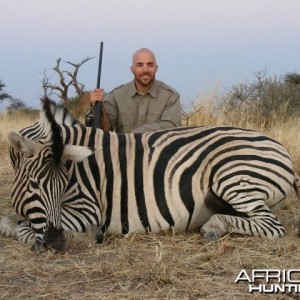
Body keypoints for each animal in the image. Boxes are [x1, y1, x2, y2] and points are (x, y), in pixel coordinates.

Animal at [2, 98, 300, 251]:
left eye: (64, 185)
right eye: (33, 184)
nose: (56, 243)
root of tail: (280, 147)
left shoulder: (87, 210)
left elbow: (18, 226)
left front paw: (87, 235)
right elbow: (13, 220)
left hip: (232, 176)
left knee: (272, 226)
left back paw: (214, 226)